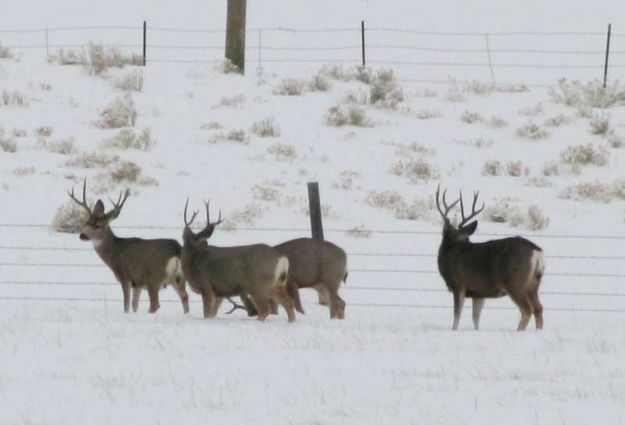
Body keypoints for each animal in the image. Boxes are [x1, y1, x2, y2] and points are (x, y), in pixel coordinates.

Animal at [68, 177, 189, 314]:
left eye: (98, 226)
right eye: (86, 222)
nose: (82, 235)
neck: (115, 251)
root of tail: (176, 250)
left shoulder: (125, 276)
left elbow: (126, 305)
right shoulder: (137, 284)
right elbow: (134, 305)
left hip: (154, 277)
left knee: (155, 304)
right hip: (178, 278)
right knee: (185, 297)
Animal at [436, 186, 544, 332]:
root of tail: (537, 252)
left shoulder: (459, 284)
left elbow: (457, 315)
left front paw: (454, 330)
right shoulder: (478, 292)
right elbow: (476, 318)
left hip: (515, 282)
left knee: (528, 309)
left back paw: (519, 331)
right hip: (533, 284)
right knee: (539, 308)